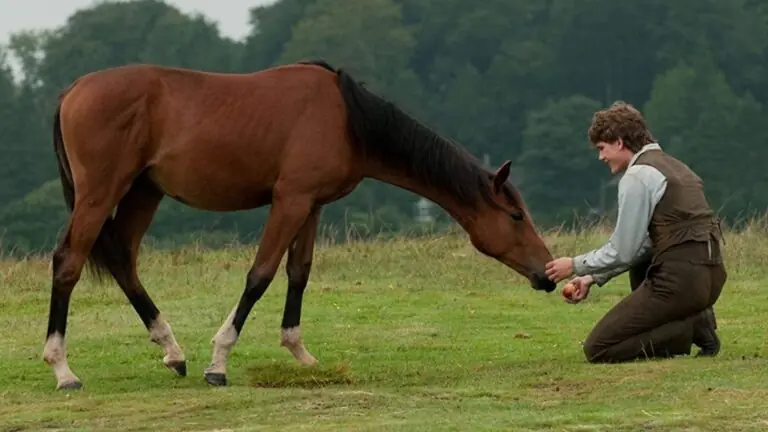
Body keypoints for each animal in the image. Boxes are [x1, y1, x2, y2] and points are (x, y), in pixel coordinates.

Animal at [43, 59, 557, 391]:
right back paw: (62, 368)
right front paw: (219, 361)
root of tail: (72, 90)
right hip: (101, 193)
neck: (347, 119)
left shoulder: (312, 205)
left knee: (124, 262)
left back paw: (172, 350)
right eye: (515, 216)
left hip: (143, 192)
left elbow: (298, 273)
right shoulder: (289, 201)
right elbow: (260, 275)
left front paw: (299, 352)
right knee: (69, 262)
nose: (548, 274)